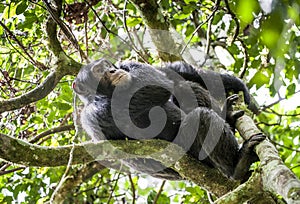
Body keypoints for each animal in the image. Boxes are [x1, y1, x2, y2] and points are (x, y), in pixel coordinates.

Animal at [72, 58, 264, 180]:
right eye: (98, 71)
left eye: (105, 65)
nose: (111, 70)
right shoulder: (94, 115)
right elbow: (155, 86)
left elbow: (166, 72)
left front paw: (238, 85)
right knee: (202, 117)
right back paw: (238, 166)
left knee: (184, 84)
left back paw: (229, 116)